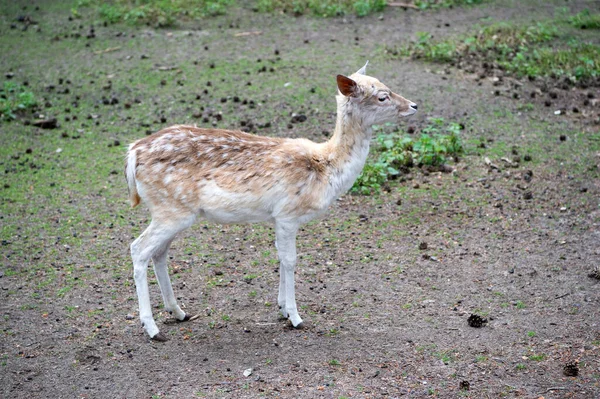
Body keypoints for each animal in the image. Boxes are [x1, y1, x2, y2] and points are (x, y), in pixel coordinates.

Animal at [125, 62, 418, 340]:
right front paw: (296, 317)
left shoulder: (278, 217)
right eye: (382, 96)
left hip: (173, 212)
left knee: (159, 252)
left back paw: (178, 312)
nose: (414, 105)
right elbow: (290, 259)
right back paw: (152, 329)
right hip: (171, 209)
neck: (325, 169)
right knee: (138, 248)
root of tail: (132, 153)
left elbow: (279, 256)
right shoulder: (288, 212)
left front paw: (282, 309)